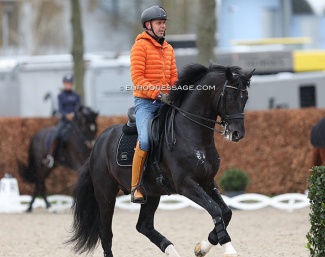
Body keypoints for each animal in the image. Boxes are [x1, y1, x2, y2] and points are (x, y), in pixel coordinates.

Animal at [66, 62, 253, 256]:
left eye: (245, 97)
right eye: (230, 96)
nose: (237, 133)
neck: (191, 134)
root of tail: (99, 142)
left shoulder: (207, 181)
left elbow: (226, 212)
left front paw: (202, 246)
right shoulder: (186, 184)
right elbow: (215, 210)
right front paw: (228, 247)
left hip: (152, 194)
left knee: (144, 226)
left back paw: (172, 250)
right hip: (106, 194)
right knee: (106, 232)